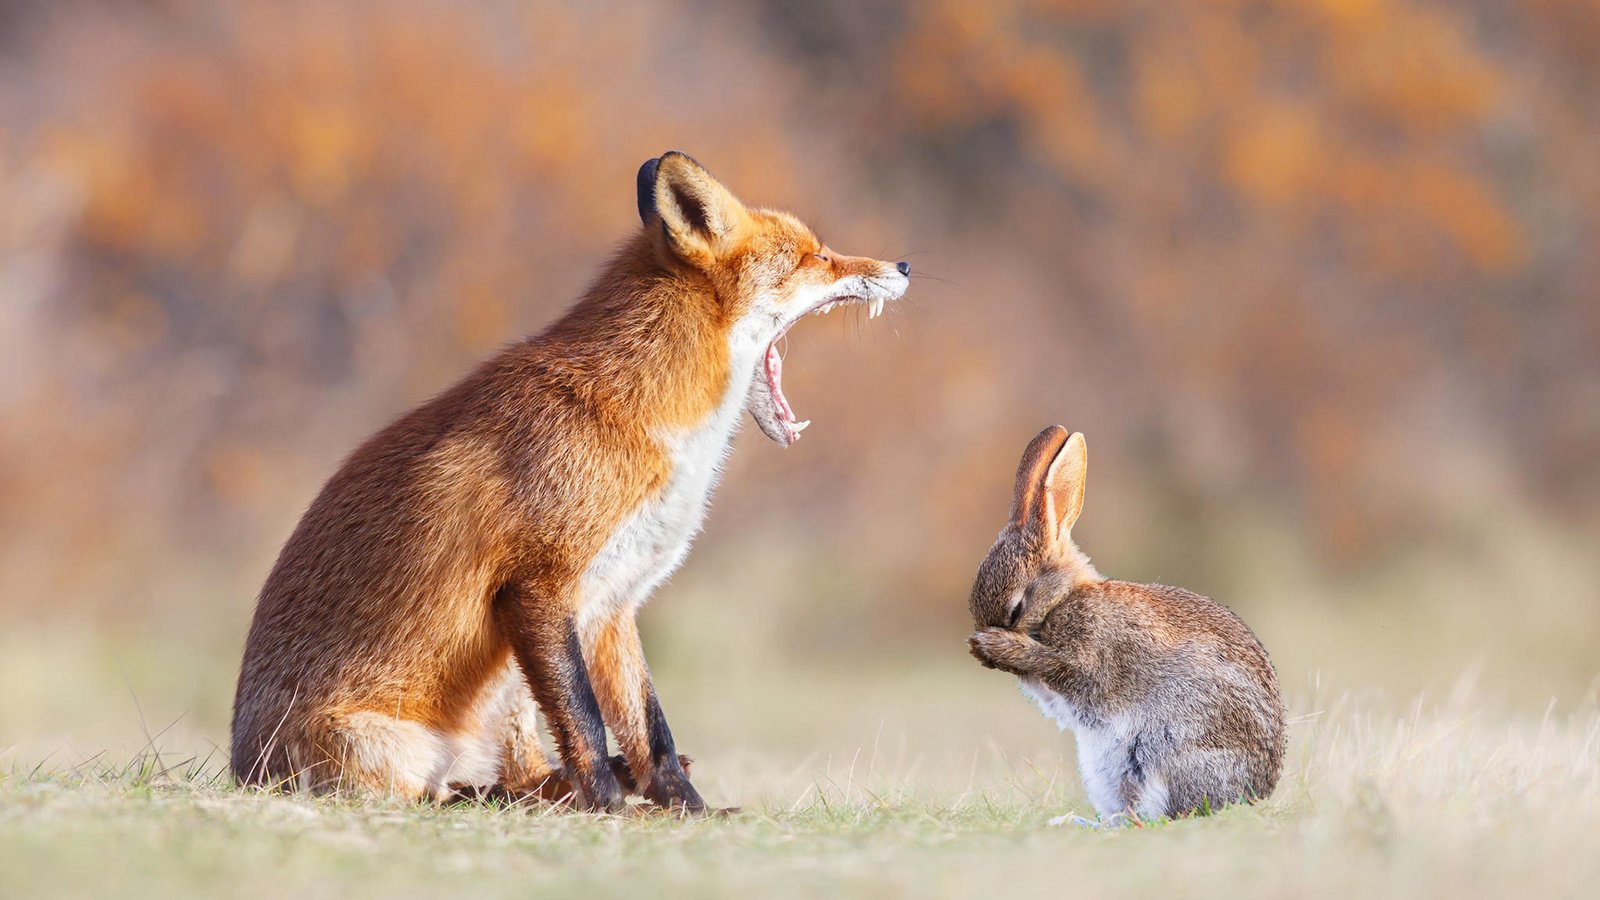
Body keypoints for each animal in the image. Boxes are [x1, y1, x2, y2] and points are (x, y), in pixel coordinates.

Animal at [233, 150, 921, 810]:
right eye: (816, 256)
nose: (905, 264)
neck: (649, 419)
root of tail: (244, 769)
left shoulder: (613, 602)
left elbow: (650, 729)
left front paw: (686, 809)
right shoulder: (539, 586)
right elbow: (586, 722)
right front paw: (610, 808)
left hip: (505, 691)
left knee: (521, 773)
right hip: (397, 744)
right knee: (442, 793)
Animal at [960, 422, 1286, 826]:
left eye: (1016, 609)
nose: (983, 653)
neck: (1062, 599)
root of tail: (1253, 794)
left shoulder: (1090, 658)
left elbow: (1062, 668)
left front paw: (995, 646)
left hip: (1162, 751)